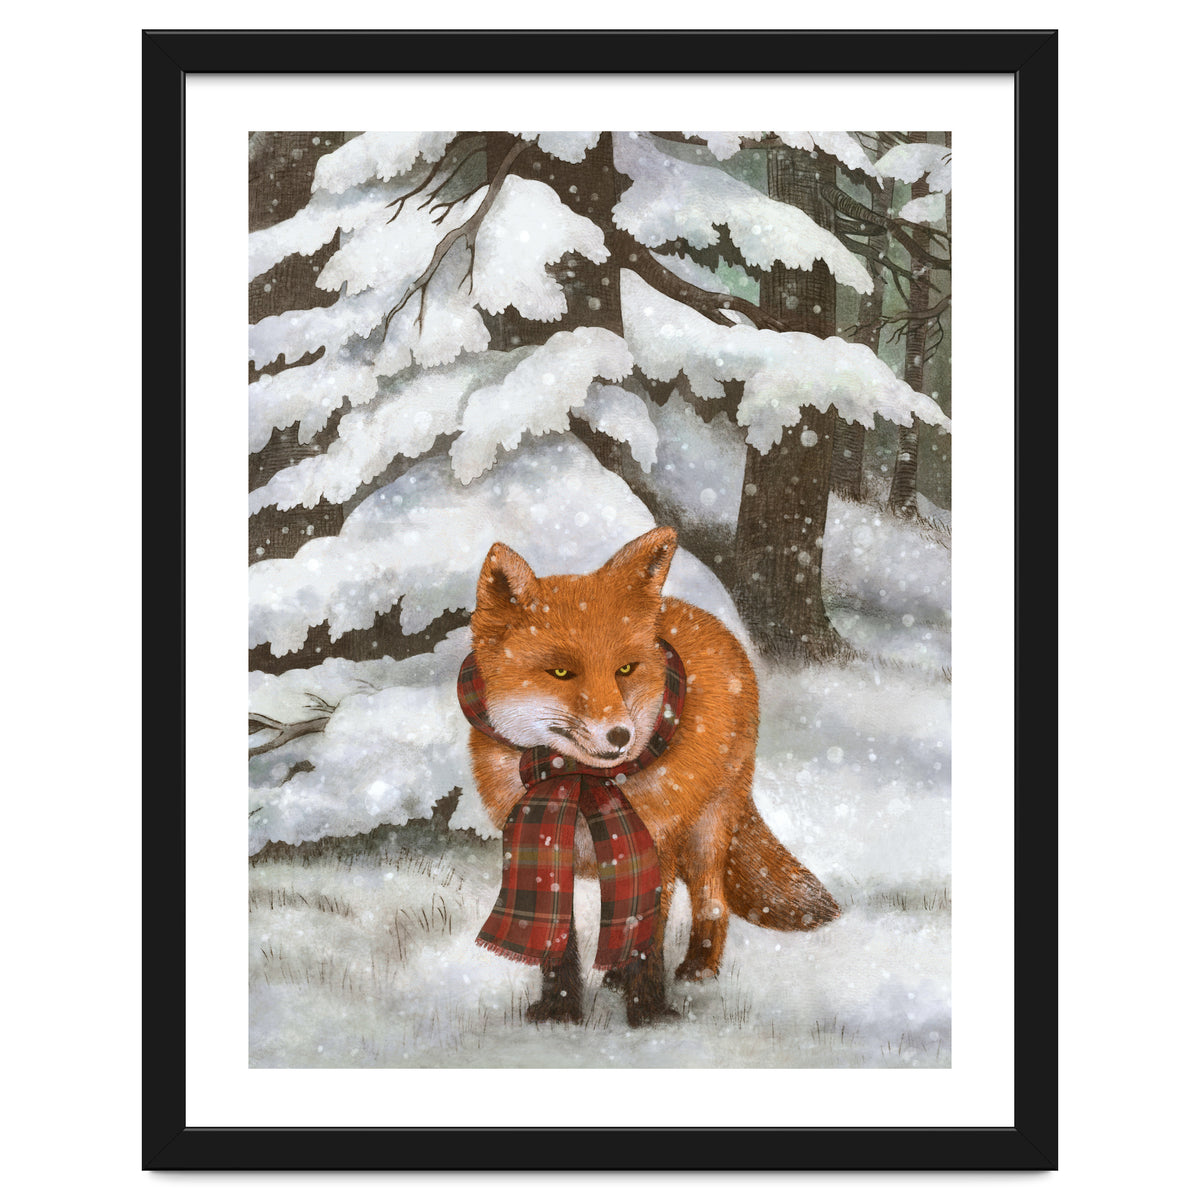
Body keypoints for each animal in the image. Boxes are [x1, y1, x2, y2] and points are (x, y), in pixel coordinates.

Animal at [465, 526, 839, 1027]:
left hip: (705, 832)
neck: (578, 781)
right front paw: (558, 1012)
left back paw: (697, 969)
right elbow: (559, 940)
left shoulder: (652, 845)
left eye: (625, 669)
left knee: (712, 903)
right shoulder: (547, 846)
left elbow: (647, 939)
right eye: (561, 672)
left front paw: (649, 1015)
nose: (620, 735)